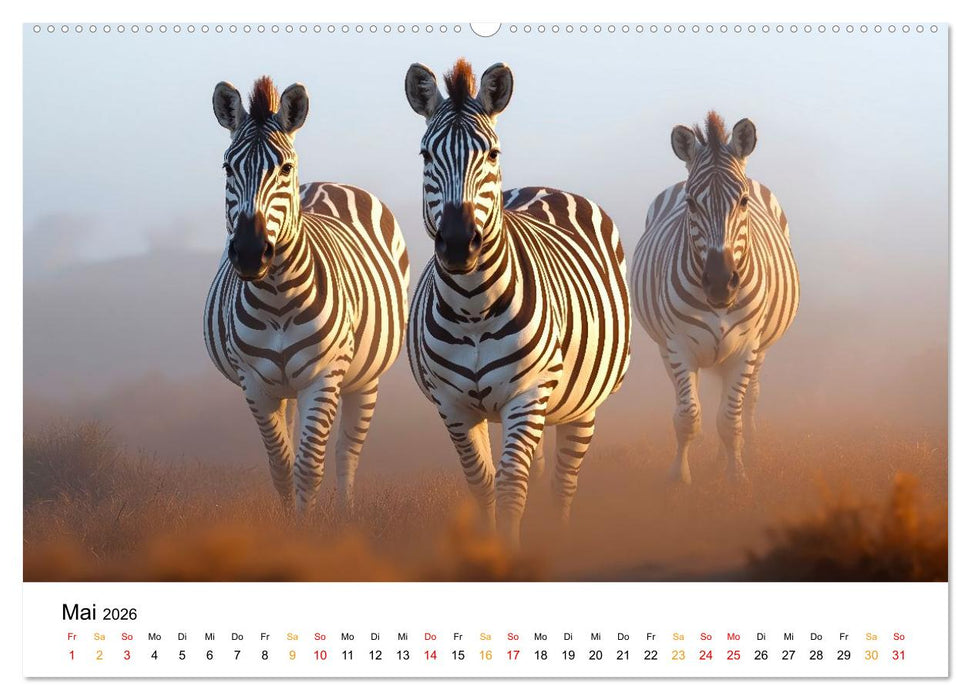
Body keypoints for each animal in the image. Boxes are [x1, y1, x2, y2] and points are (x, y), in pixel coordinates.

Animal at [205, 76, 410, 514]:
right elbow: (281, 465)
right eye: (229, 167)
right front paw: (288, 524)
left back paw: (348, 512)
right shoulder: (254, 383)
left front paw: (308, 527)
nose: (250, 251)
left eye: (284, 168)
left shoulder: (324, 376)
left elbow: (309, 465)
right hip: (286, 387)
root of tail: (328, 182)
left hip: (363, 379)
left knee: (347, 452)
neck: (278, 298)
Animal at [404, 59, 631, 547]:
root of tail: (544, 187)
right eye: (426, 156)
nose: (458, 243)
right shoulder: (452, 405)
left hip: (580, 404)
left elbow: (512, 486)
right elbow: (482, 483)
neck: (472, 307)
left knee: (564, 481)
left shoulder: (528, 394)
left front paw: (510, 552)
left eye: (492, 154)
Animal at [630, 111, 799, 484]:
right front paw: (679, 477)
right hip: (668, 347)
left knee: (747, 401)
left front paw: (736, 476)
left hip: (756, 350)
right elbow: (688, 416)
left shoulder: (747, 347)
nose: (721, 283)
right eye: (691, 203)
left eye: (744, 201)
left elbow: (730, 419)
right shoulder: (677, 345)